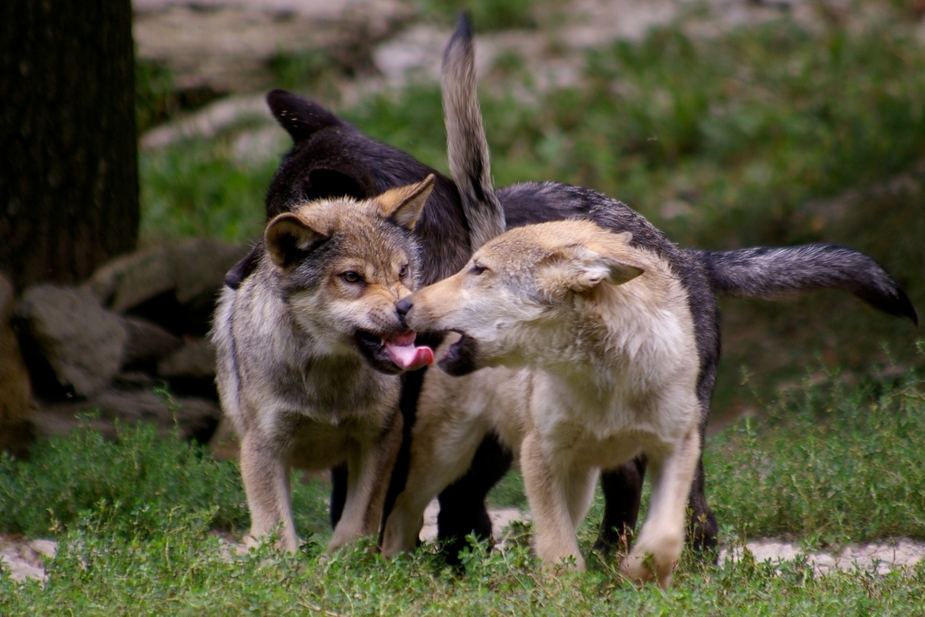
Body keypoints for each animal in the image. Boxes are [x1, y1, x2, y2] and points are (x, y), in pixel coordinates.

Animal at [213, 176, 436, 552]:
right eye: (352, 277)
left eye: (402, 271)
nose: (408, 309)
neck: (328, 381)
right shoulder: (263, 446)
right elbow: (278, 535)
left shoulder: (381, 436)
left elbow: (357, 523)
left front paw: (343, 561)